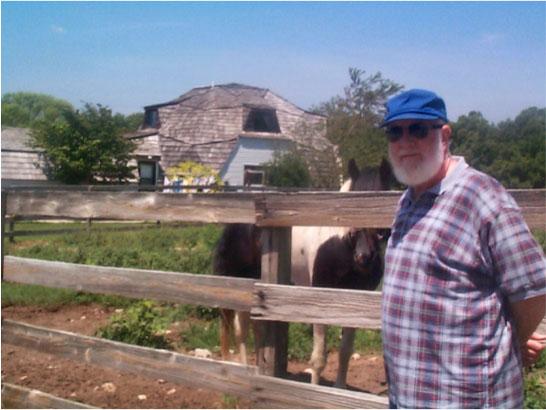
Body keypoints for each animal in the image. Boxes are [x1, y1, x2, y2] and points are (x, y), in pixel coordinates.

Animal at [212, 159, 392, 388]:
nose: (364, 257)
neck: (339, 243)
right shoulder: (320, 300)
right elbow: (319, 358)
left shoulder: (355, 301)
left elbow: (344, 353)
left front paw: (340, 389)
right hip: (238, 285)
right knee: (239, 330)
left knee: (253, 327)